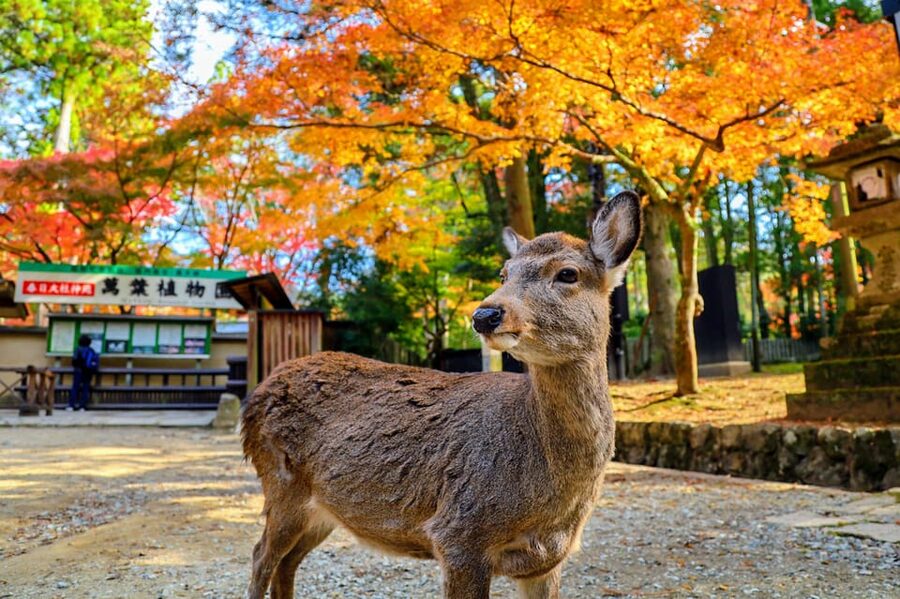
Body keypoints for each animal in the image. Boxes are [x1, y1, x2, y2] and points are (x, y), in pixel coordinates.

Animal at [241, 190, 642, 599]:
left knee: (287, 562)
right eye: (504, 273)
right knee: (261, 556)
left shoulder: (547, 559)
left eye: (567, 274)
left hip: (323, 509)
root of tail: (259, 391)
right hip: (281, 482)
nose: (485, 314)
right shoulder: (459, 532)